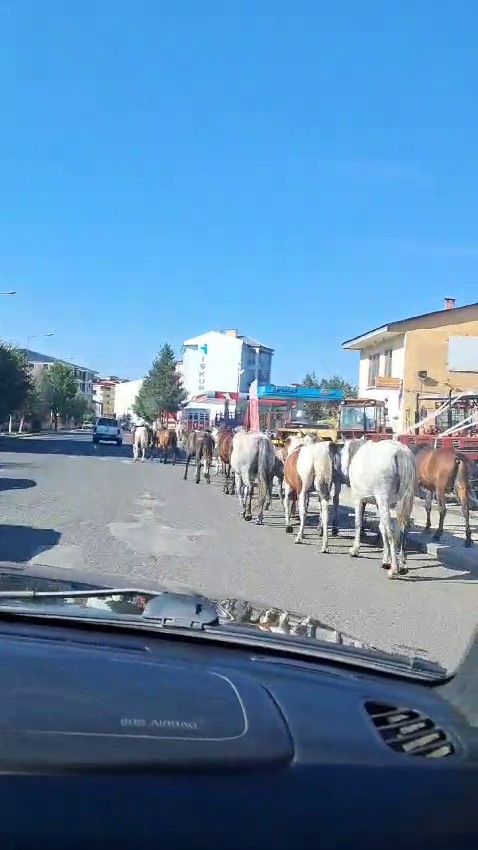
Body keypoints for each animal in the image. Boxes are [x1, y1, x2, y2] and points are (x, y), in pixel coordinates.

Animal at [342, 438, 416, 576]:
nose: (344, 471)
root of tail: (400, 452)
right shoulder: (378, 503)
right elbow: (382, 527)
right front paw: (386, 558)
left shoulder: (359, 499)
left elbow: (358, 523)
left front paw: (355, 549)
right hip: (406, 499)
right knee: (404, 527)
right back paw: (402, 563)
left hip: (384, 499)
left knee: (392, 530)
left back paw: (394, 569)